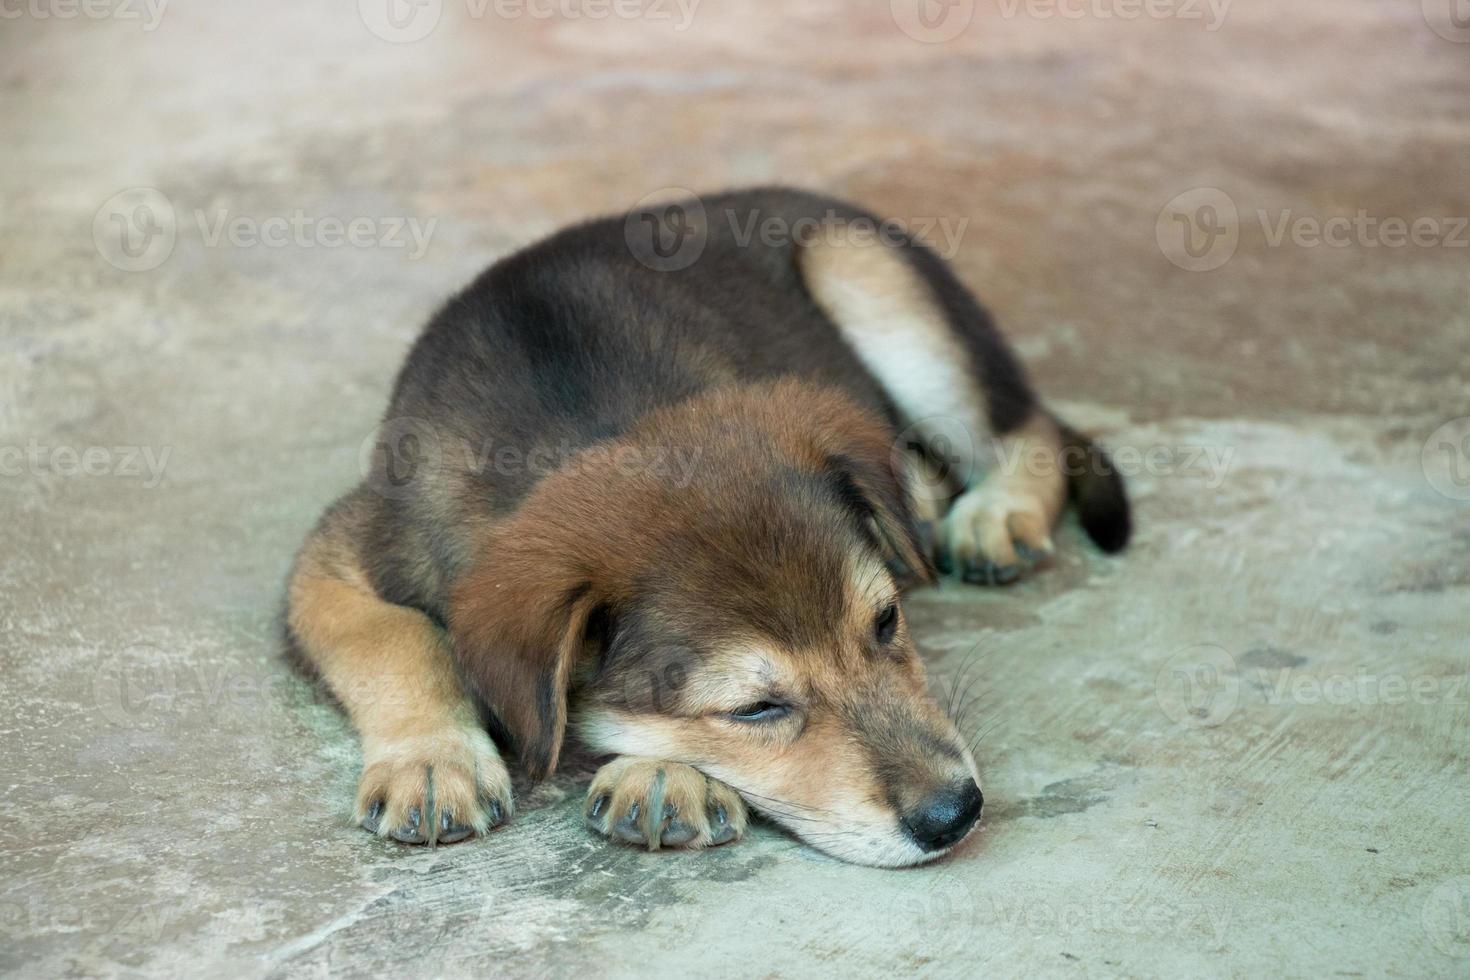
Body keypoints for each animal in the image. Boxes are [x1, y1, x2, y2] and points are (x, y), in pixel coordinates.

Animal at [289, 185, 1134, 863]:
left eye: (888, 622)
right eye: (754, 709)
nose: (955, 814)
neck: (580, 418)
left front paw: (662, 771)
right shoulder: (337, 548)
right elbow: (390, 635)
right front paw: (433, 763)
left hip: (861, 265)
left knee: (1033, 428)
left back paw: (996, 513)